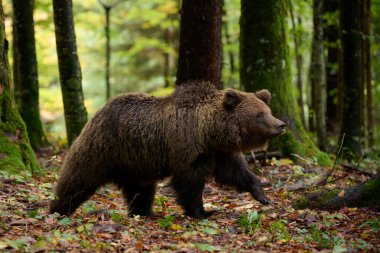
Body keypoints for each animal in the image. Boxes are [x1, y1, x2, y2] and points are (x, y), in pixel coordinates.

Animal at [49, 81, 284, 217]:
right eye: (259, 114)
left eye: (268, 110)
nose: (281, 124)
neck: (210, 133)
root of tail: (98, 112)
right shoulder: (188, 148)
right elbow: (188, 183)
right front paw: (202, 211)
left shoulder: (219, 153)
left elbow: (237, 173)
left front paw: (262, 194)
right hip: (102, 149)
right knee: (78, 178)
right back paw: (58, 209)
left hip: (136, 163)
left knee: (141, 190)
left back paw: (145, 212)